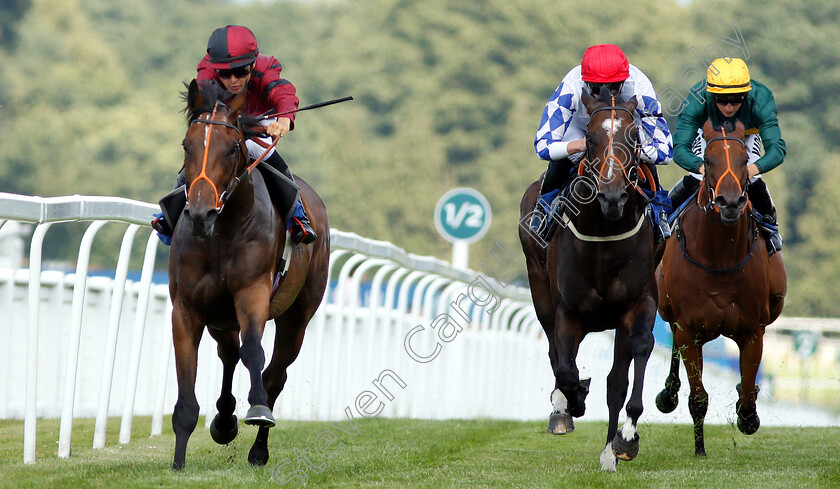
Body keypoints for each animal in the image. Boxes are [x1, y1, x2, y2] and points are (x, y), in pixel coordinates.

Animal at [169, 80, 330, 468]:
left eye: (231, 149)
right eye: (186, 145)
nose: (201, 213)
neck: (220, 234)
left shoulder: (252, 293)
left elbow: (254, 351)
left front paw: (257, 410)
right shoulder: (187, 309)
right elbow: (187, 386)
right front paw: (178, 462)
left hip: (297, 316)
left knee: (275, 372)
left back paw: (258, 448)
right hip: (219, 316)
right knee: (228, 354)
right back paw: (224, 420)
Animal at [520, 88, 664, 472]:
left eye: (636, 135)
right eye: (589, 139)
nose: (612, 196)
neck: (604, 235)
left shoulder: (638, 304)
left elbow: (634, 359)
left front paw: (625, 439)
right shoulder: (567, 312)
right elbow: (567, 370)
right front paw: (571, 404)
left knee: (616, 379)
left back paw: (611, 449)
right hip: (539, 288)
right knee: (555, 352)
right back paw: (563, 409)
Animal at [656, 120, 788, 456]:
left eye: (743, 161)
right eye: (708, 160)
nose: (729, 202)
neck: (718, 256)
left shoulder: (752, 329)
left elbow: (747, 395)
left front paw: (748, 415)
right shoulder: (688, 328)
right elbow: (698, 396)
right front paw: (700, 450)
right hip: (668, 310)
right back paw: (668, 394)